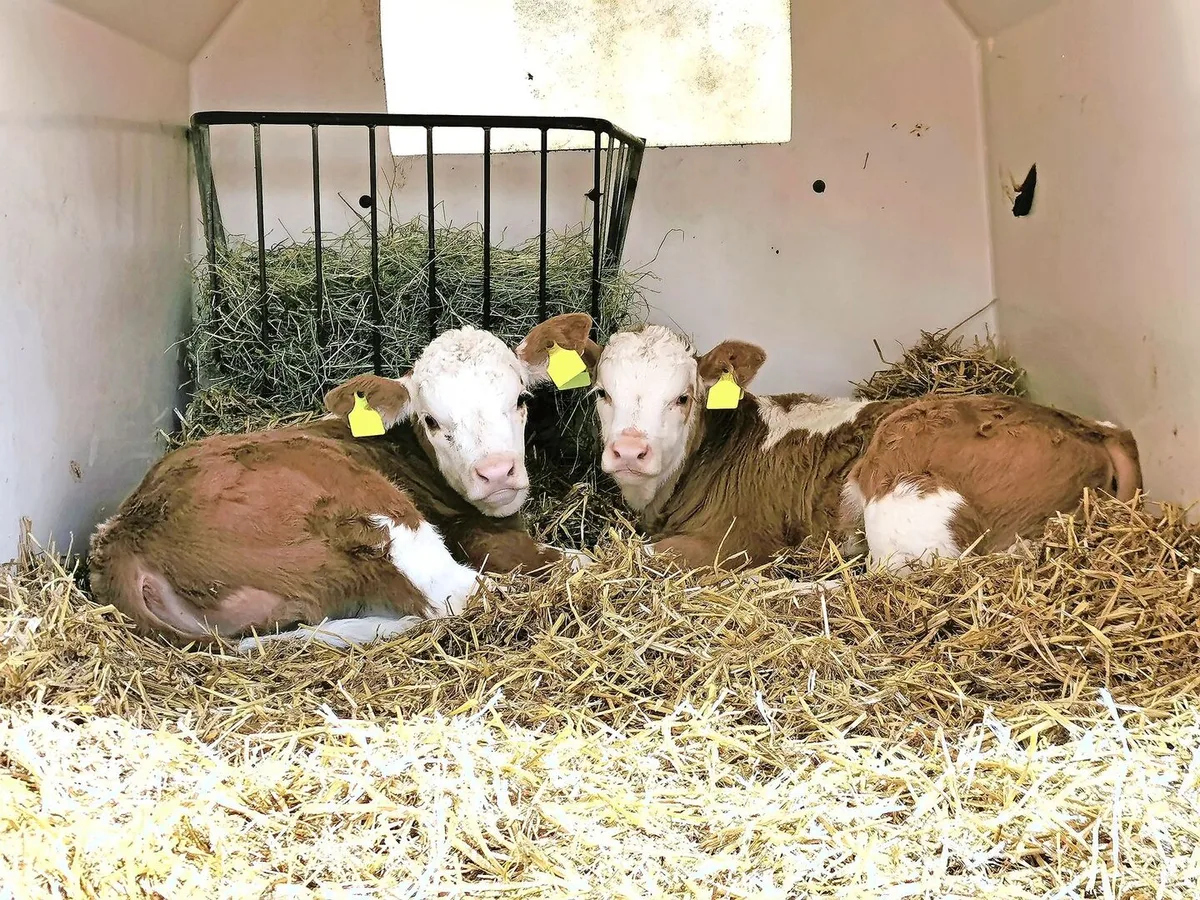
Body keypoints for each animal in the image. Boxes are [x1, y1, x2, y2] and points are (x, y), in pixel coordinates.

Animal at [87, 313, 598, 652]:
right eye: (431, 421)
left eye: (521, 399)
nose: (496, 472)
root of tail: (123, 535)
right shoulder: (473, 534)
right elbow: (563, 561)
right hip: (371, 515)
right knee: (460, 596)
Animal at [576, 324, 1142, 572]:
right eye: (601, 392)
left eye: (683, 397)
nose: (629, 451)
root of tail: (1090, 426)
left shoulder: (729, 540)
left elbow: (603, 559)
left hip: (903, 483)